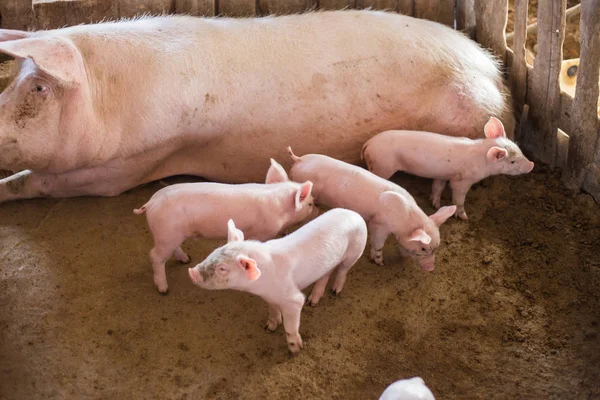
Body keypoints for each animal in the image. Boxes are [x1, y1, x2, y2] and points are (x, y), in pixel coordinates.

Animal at [0, 10, 512, 203]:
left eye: (39, 88)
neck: (110, 98)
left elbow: (37, 182)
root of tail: (490, 67)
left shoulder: (125, 167)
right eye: (16, 81)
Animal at [133, 159, 316, 294]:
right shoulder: (263, 231)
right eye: (310, 204)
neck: (280, 207)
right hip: (167, 233)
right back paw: (163, 289)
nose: (317, 208)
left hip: (172, 234)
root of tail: (150, 203)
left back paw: (186, 259)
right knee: (155, 256)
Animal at [189, 208, 366, 354]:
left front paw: (296, 350)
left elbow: (291, 325)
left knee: (343, 270)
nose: (191, 271)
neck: (262, 284)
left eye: (222, 268)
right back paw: (313, 302)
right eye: (213, 253)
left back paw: (335, 291)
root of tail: (355, 214)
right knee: (326, 274)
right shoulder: (269, 297)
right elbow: (273, 311)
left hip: (356, 251)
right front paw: (269, 328)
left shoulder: (293, 300)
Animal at [286, 147, 454, 272]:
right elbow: (377, 242)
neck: (404, 219)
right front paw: (380, 263)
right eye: (423, 248)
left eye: (436, 248)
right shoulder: (378, 223)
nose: (431, 268)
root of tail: (298, 159)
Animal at [360, 116, 536, 219]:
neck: (481, 159)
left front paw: (435, 204)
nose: (532, 164)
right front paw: (464, 217)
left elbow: (437, 187)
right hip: (382, 165)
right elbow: (458, 198)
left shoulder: (442, 175)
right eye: (512, 161)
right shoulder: (462, 180)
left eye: (519, 150)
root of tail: (367, 144)